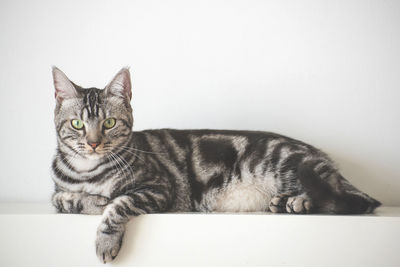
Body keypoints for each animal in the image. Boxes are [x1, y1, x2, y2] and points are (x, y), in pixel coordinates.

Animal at [50, 67, 382, 264]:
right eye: (78, 124)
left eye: (109, 123)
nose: (93, 143)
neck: (87, 172)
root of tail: (320, 155)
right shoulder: (59, 190)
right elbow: (60, 199)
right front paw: (82, 200)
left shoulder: (158, 188)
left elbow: (117, 205)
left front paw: (105, 237)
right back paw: (290, 202)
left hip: (290, 163)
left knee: (357, 198)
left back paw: (302, 200)